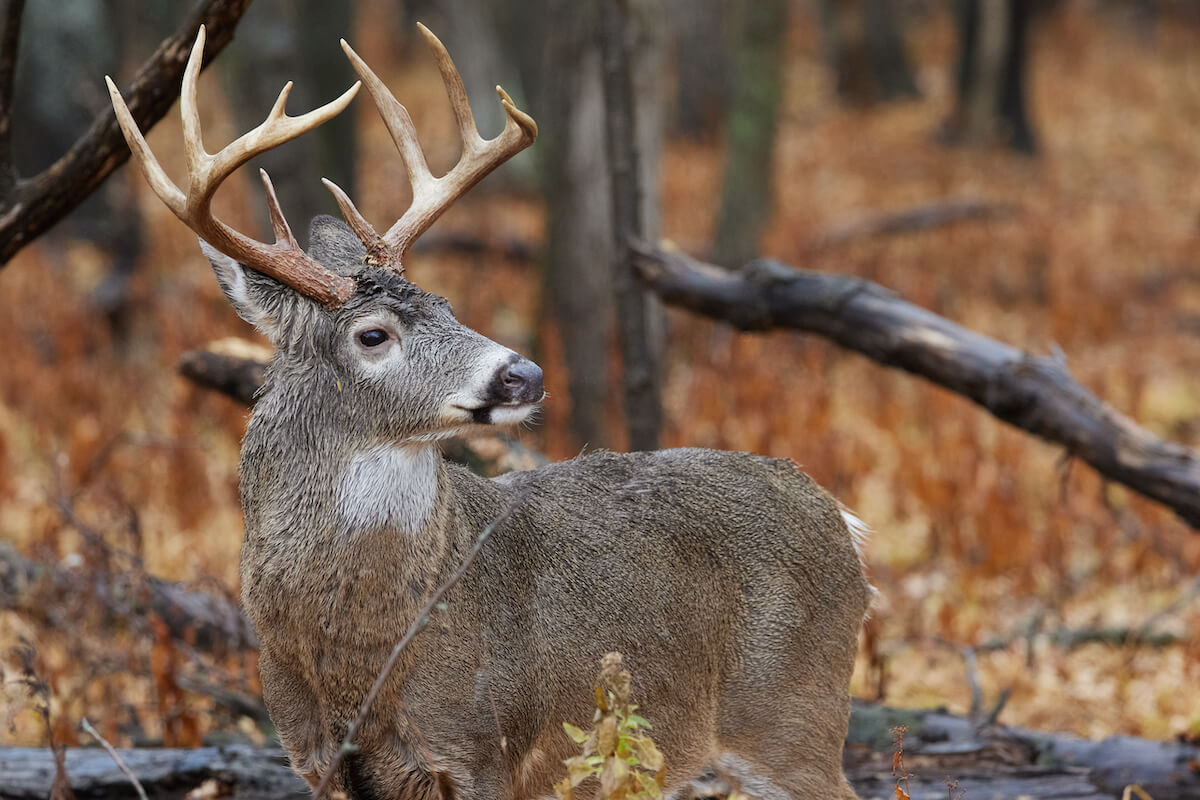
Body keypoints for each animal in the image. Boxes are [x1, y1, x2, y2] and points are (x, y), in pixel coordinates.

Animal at [108, 23, 873, 800]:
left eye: (447, 305)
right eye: (374, 334)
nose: (523, 373)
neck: (354, 656)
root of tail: (839, 518)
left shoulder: (481, 744)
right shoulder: (314, 757)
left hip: (790, 712)